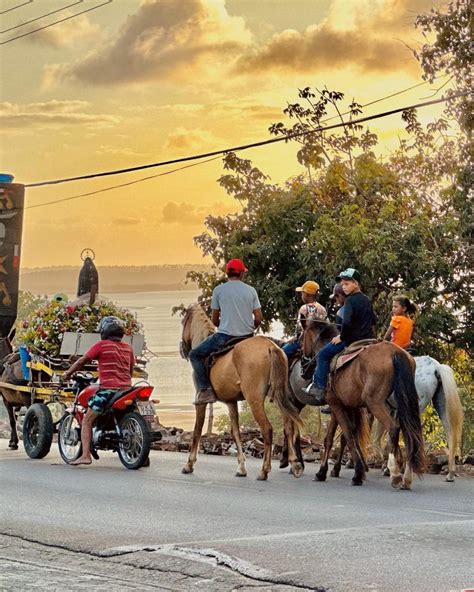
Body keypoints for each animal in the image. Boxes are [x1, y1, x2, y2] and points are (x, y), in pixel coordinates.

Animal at [178, 306, 304, 480]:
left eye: (183, 322)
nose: (183, 349)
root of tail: (271, 347)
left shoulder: (200, 402)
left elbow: (197, 430)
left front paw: (189, 464)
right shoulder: (231, 402)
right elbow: (236, 432)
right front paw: (242, 467)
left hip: (254, 398)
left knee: (267, 429)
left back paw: (264, 470)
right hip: (279, 395)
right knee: (288, 427)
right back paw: (294, 463)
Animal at [296, 322, 426, 488]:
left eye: (301, 338)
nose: (303, 370)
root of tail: (396, 353)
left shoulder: (335, 404)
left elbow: (347, 435)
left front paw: (356, 473)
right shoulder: (342, 405)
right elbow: (337, 436)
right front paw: (327, 471)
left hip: (375, 403)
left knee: (393, 427)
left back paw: (394, 472)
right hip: (403, 403)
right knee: (410, 431)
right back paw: (406, 476)